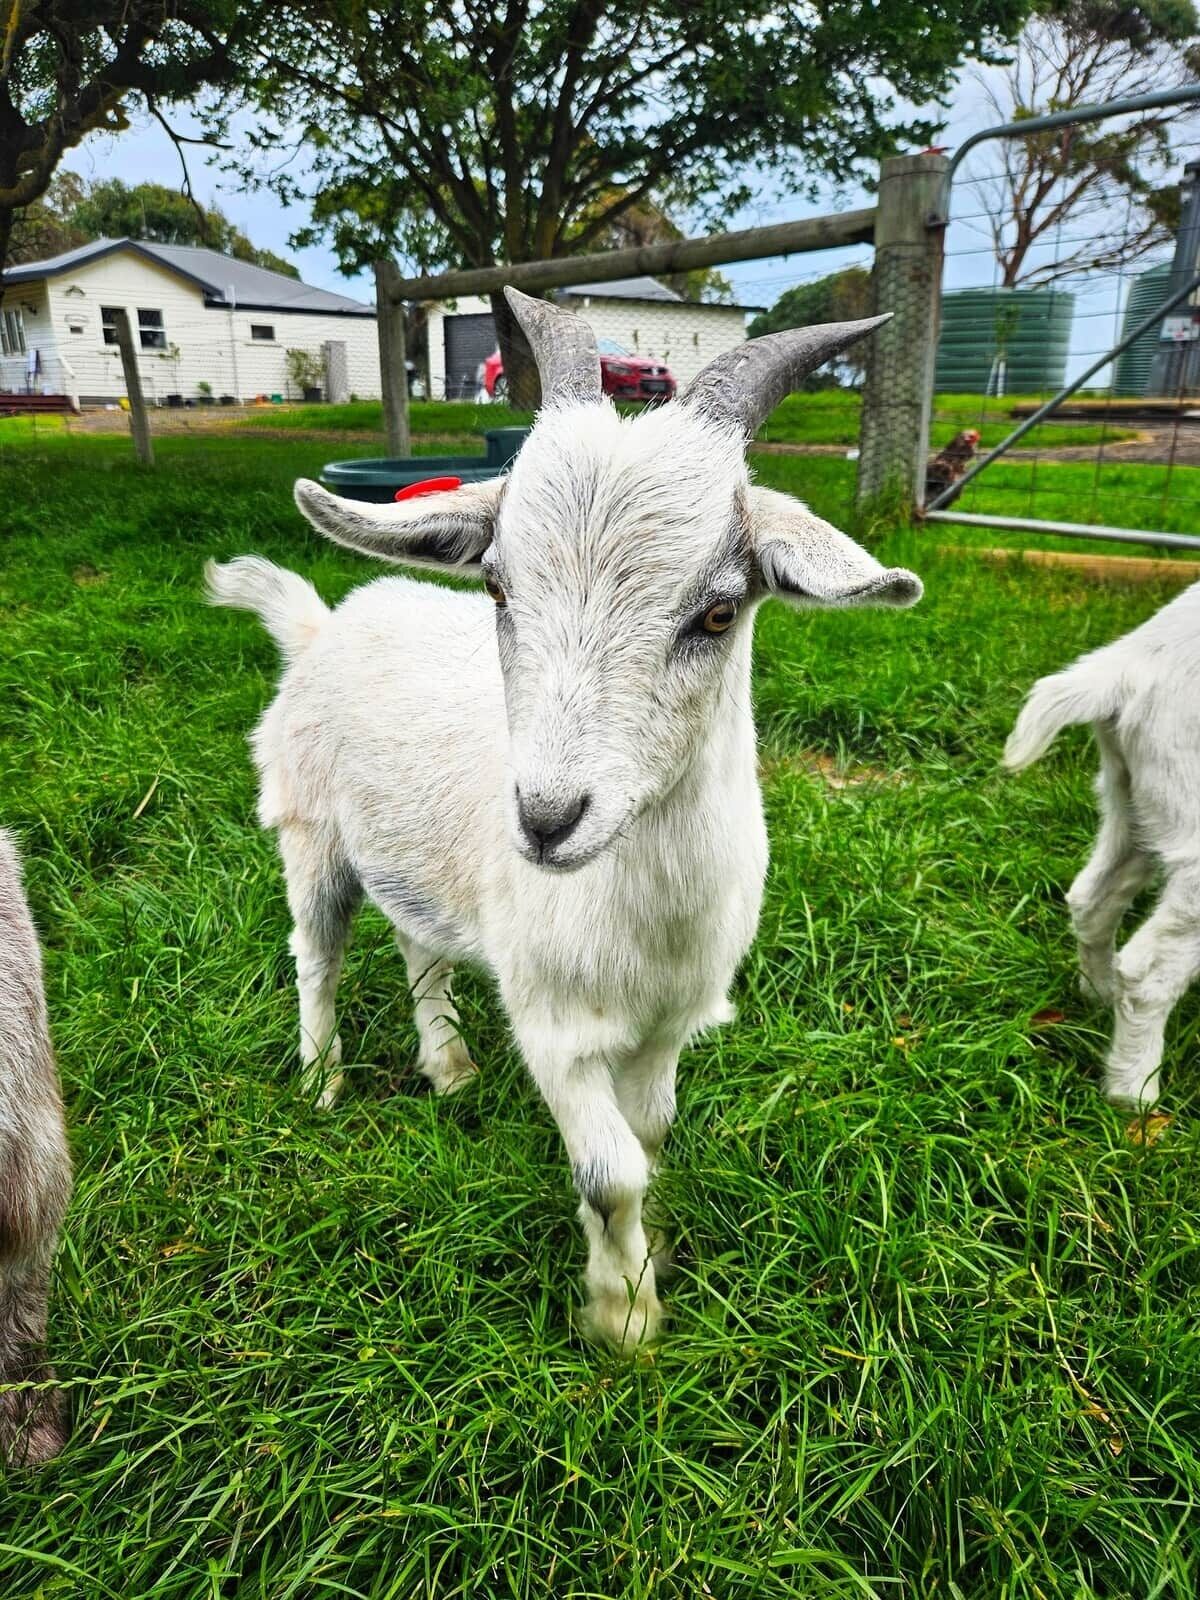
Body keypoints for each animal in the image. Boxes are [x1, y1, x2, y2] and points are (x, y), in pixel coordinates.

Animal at [207, 288, 922, 1349]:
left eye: (718, 612)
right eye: (499, 587)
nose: (547, 820)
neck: (638, 907)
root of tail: (321, 624)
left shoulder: (669, 1023)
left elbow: (650, 1139)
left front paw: (643, 1265)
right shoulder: (552, 1024)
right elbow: (610, 1171)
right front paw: (621, 1318)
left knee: (420, 948)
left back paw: (449, 1065)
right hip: (311, 834)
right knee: (317, 957)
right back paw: (323, 1079)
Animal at [1005, 580, 1200, 1108]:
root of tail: (1127, 666)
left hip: (1132, 800)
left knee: (1092, 899)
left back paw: (1097, 996)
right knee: (1149, 971)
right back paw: (1135, 1095)